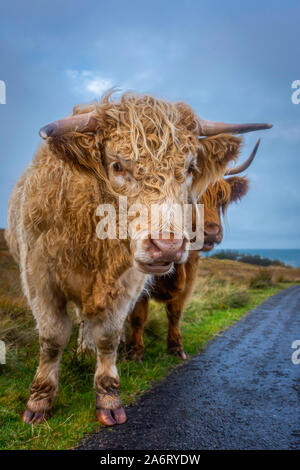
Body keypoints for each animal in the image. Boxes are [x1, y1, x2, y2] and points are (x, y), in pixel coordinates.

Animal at [5, 91, 272, 426]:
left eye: (189, 168)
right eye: (117, 165)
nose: (167, 246)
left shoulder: (130, 284)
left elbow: (111, 335)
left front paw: (108, 398)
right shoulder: (39, 277)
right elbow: (52, 338)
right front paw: (39, 403)